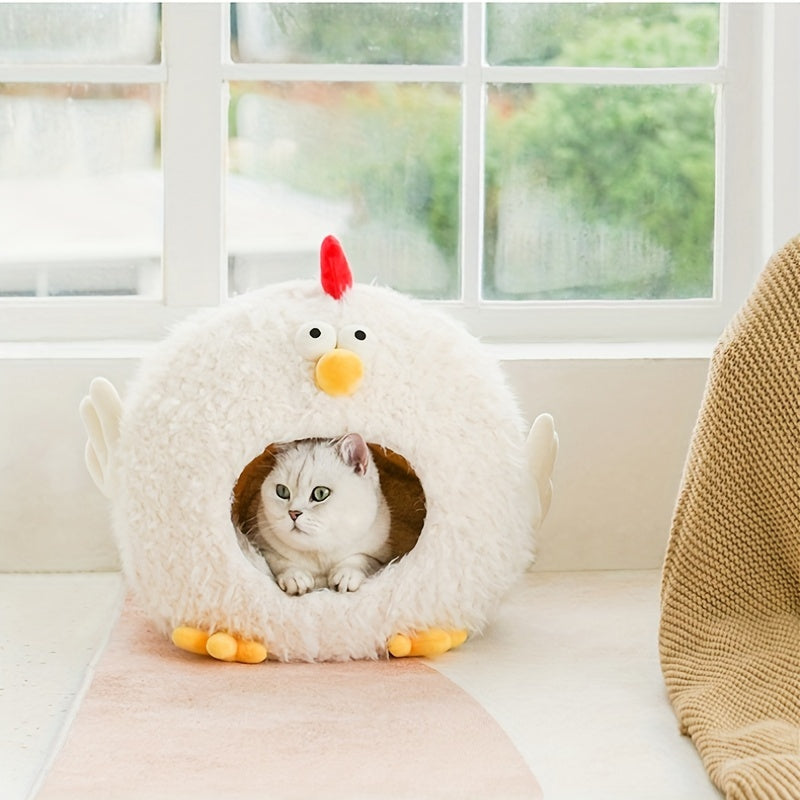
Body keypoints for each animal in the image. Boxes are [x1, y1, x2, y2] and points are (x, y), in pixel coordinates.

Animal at [256, 432, 390, 592]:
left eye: (320, 493)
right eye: (282, 491)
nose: (293, 513)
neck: (319, 554)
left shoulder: (381, 556)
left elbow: (362, 558)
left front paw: (347, 574)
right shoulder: (262, 546)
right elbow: (278, 560)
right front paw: (294, 576)